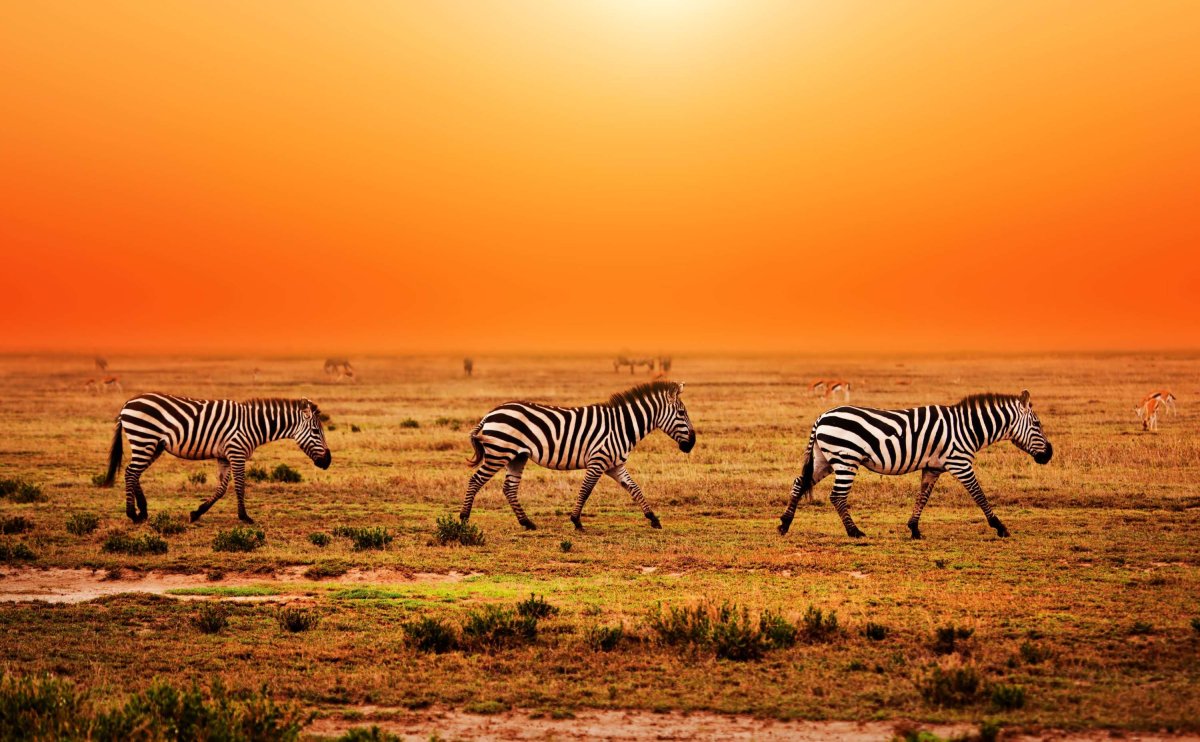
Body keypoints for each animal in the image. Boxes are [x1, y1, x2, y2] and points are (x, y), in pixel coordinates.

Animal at [101, 393, 331, 524]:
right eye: (315, 431)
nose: (328, 461)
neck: (253, 425)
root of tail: (127, 403)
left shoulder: (224, 457)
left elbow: (221, 488)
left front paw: (197, 512)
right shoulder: (237, 453)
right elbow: (240, 486)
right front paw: (245, 517)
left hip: (153, 445)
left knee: (135, 473)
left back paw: (142, 511)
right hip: (144, 438)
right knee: (131, 472)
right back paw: (133, 514)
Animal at [460, 380, 696, 531]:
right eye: (682, 413)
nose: (692, 443)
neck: (622, 426)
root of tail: (490, 414)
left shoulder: (615, 465)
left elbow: (635, 489)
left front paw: (653, 519)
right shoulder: (598, 461)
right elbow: (586, 490)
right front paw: (576, 521)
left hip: (517, 456)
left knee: (509, 488)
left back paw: (527, 523)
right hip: (499, 452)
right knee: (475, 480)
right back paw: (464, 519)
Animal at [778, 391, 1052, 540]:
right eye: (1037, 424)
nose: (1049, 454)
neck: (968, 428)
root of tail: (822, 416)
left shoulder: (933, 467)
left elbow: (923, 496)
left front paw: (914, 529)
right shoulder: (960, 462)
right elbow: (979, 495)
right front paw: (1000, 527)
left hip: (824, 459)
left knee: (799, 482)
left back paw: (784, 523)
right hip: (846, 458)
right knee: (837, 496)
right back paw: (854, 532)